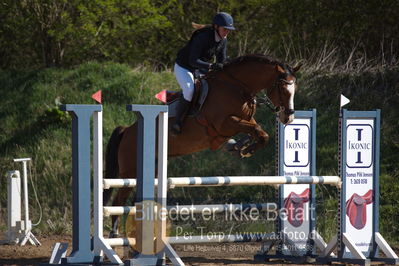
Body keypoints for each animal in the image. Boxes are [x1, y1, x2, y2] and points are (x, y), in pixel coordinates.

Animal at [104, 54, 302, 237]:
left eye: (295, 89)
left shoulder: (241, 121)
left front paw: (240, 147)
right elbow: (257, 130)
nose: (288, 118)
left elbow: (259, 132)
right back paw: (114, 234)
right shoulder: (225, 123)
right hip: (130, 173)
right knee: (118, 202)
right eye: (283, 89)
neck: (237, 87)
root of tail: (126, 130)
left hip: (149, 171)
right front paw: (247, 149)